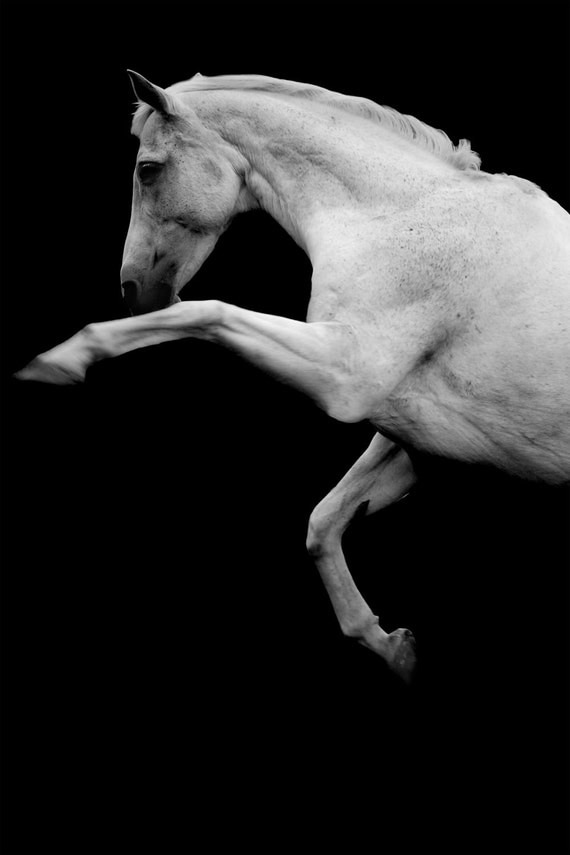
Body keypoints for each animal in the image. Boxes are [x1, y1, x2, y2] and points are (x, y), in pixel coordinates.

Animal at [15, 71, 570, 681]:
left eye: (148, 169)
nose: (134, 291)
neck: (398, 217)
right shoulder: (412, 434)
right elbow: (322, 524)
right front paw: (392, 647)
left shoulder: (346, 377)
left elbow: (208, 314)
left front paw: (62, 359)